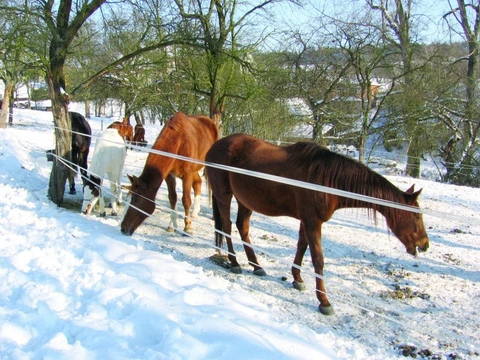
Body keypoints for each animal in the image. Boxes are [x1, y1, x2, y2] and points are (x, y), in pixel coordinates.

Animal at [204, 134, 430, 316]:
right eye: (416, 217)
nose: (425, 244)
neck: (326, 180)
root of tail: (215, 146)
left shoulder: (307, 221)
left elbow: (301, 247)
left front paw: (297, 279)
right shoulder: (313, 222)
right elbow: (318, 259)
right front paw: (324, 301)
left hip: (245, 200)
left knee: (242, 227)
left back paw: (257, 266)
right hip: (224, 195)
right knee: (227, 226)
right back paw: (235, 263)